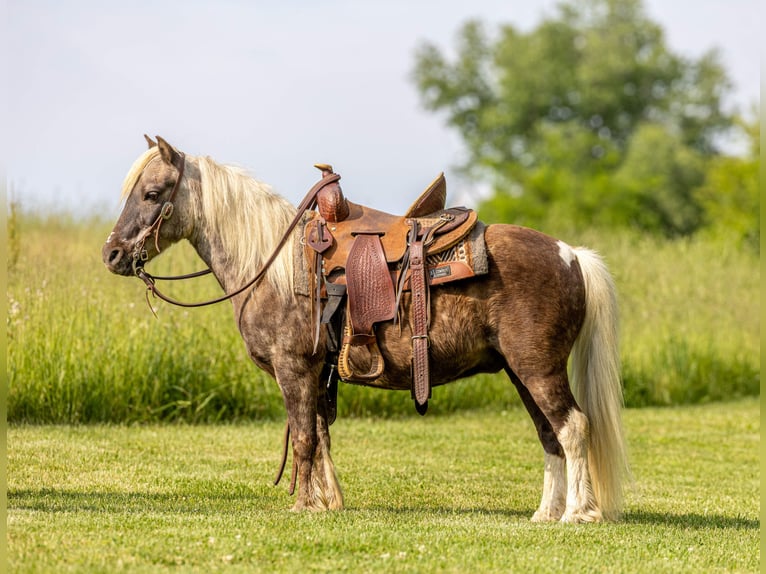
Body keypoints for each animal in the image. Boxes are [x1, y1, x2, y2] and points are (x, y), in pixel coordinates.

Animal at [102, 135, 628, 522]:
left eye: (152, 194)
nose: (112, 254)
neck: (272, 266)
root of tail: (569, 254)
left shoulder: (294, 369)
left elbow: (304, 437)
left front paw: (303, 505)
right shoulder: (316, 374)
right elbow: (320, 433)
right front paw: (327, 502)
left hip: (538, 369)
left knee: (573, 426)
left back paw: (579, 514)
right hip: (521, 372)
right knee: (550, 434)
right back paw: (546, 514)